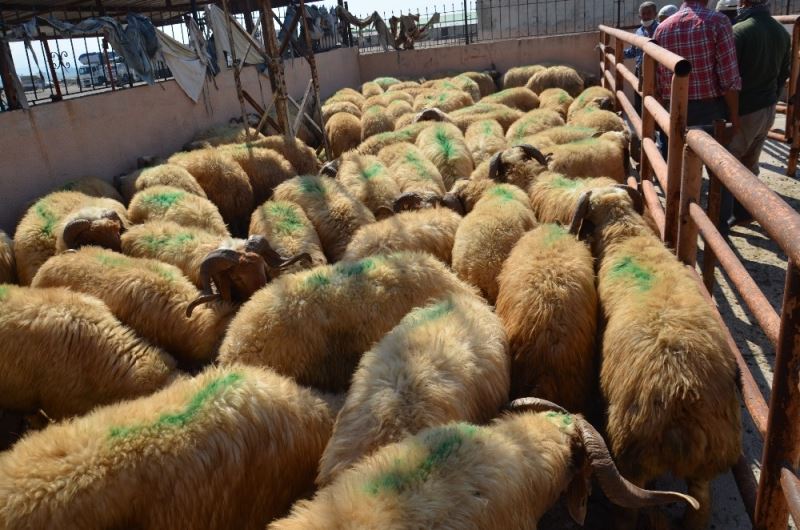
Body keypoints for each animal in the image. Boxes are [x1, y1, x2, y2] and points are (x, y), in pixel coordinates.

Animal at [568, 186, 741, 529]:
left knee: (627, 512)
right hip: (707, 463)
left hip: (631, 459)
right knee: (700, 508)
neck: (626, 235)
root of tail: (684, 395)